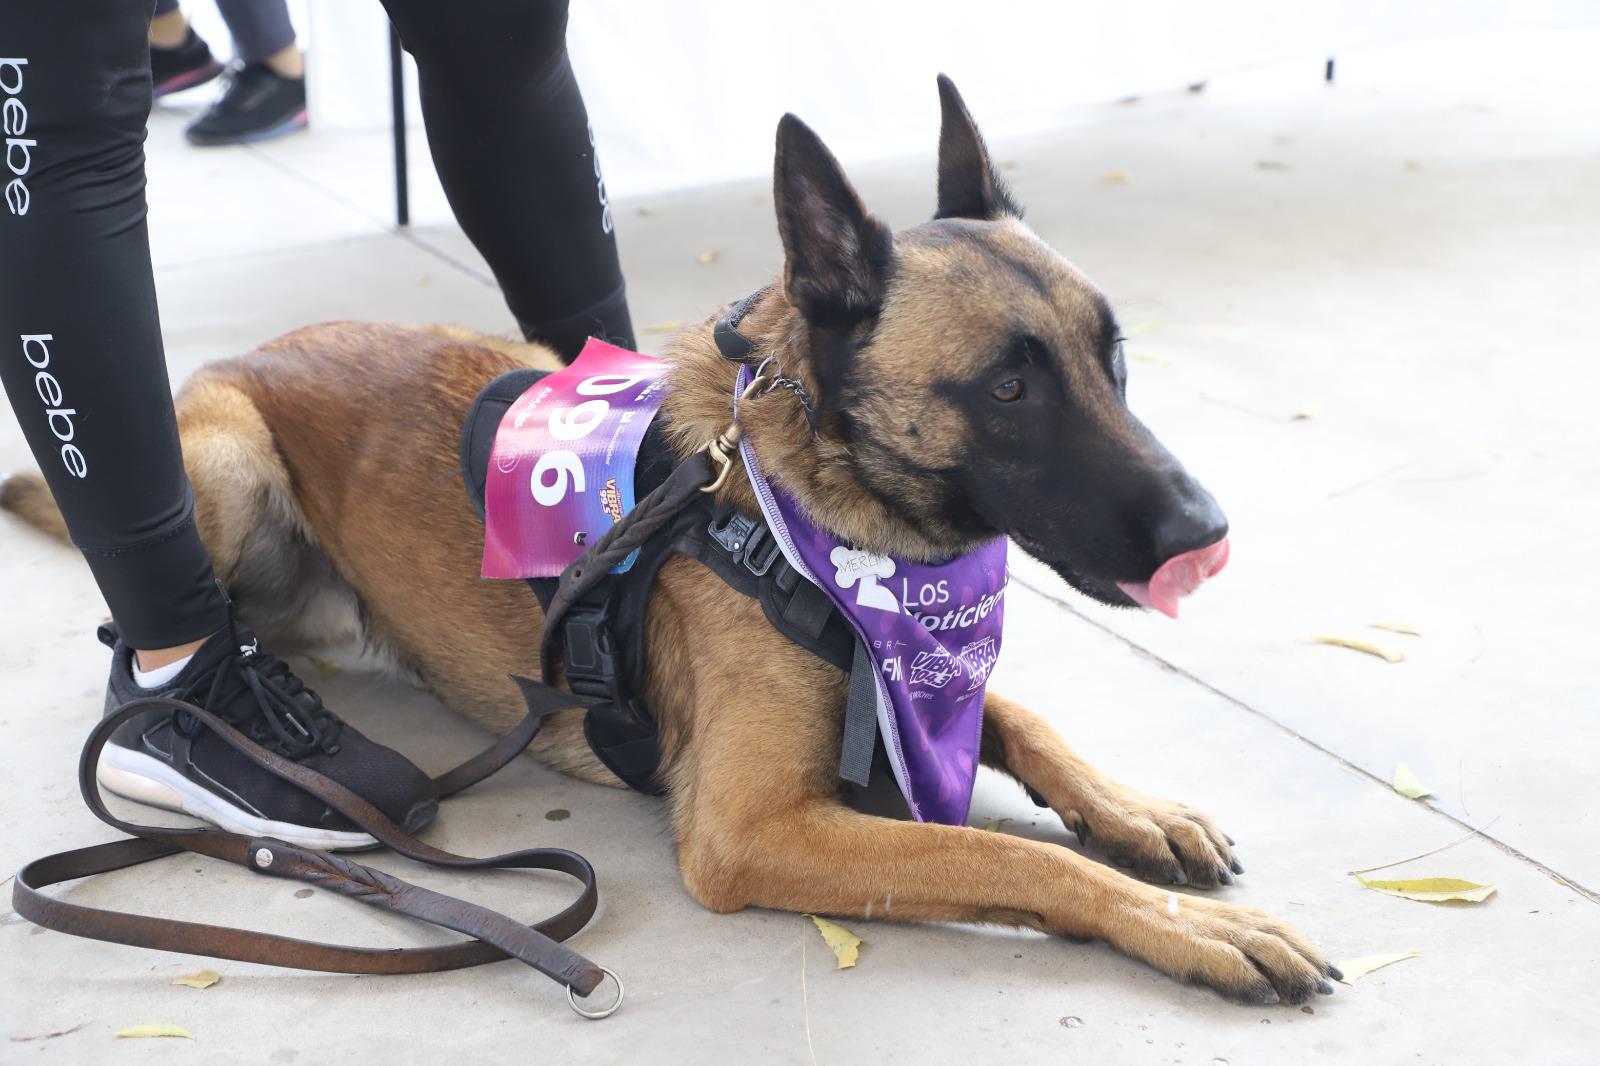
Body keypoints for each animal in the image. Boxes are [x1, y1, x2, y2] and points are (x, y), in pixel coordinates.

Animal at [6, 78, 1337, 998]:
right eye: (1009, 389)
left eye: (1112, 360)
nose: (1208, 533)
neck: (800, 513)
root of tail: (250, 354)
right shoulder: (754, 833)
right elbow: (1014, 860)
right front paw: (1192, 930)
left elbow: (1028, 722)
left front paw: (1134, 809)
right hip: (229, 461)